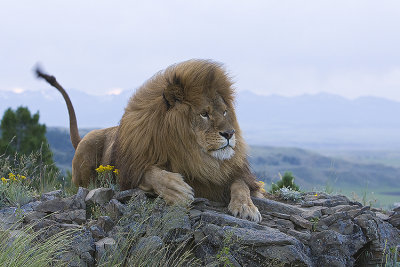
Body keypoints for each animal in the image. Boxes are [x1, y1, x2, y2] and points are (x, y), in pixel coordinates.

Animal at [36, 59, 264, 223]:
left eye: (225, 112)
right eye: (204, 114)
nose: (230, 133)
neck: (192, 153)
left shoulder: (229, 173)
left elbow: (241, 184)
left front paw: (246, 207)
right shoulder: (129, 172)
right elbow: (152, 173)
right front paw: (177, 189)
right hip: (88, 145)